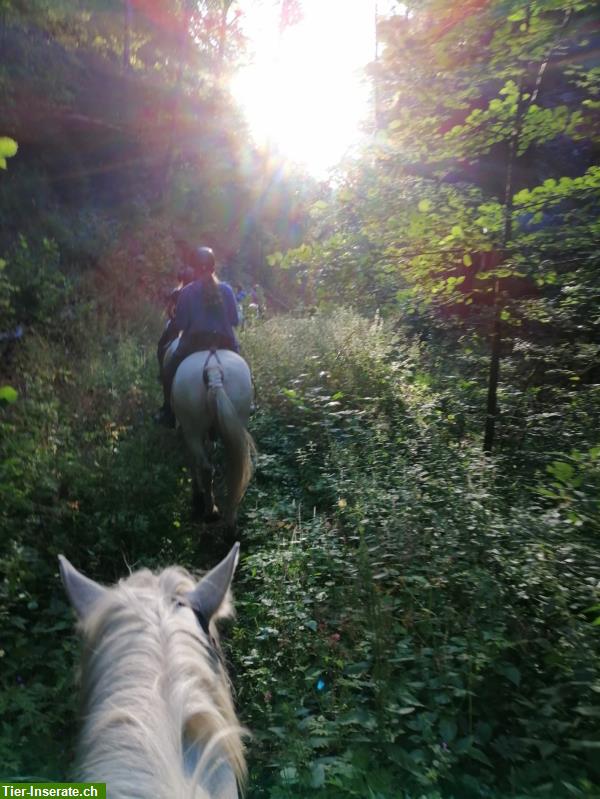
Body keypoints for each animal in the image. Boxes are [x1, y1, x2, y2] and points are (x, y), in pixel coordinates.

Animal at [164, 342, 255, 532]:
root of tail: (214, 372)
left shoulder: (185, 430)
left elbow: (192, 462)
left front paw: (197, 496)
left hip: (192, 430)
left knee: (205, 467)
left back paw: (209, 511)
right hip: (239, 421)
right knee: (234, 468)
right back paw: (230, 523)